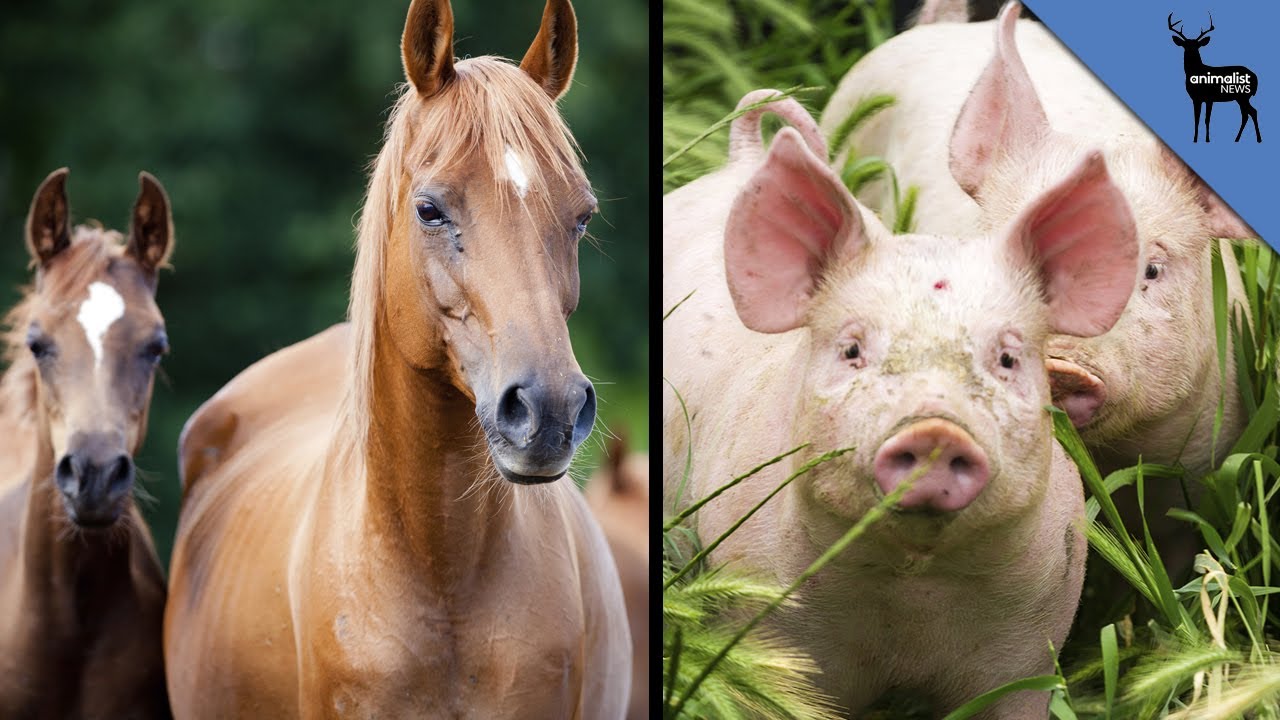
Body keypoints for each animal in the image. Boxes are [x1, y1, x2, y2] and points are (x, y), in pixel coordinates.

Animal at [662, 112, 1139, 715]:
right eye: (852, 349)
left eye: (1007, 358)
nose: (935, 429)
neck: (912, 589)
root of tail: (743, 158)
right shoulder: (762, 621)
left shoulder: (1032, 642)